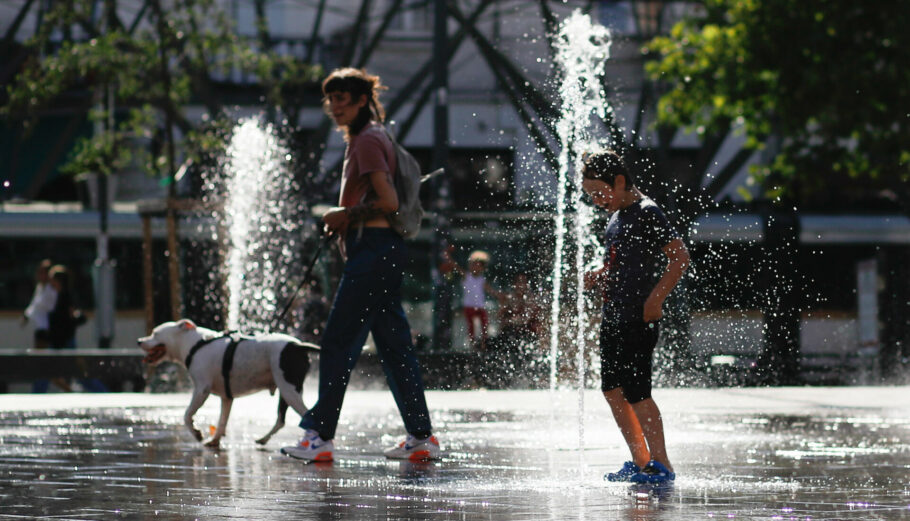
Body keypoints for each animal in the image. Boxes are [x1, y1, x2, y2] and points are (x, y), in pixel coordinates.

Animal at [137, 316, 318, 446]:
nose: (139, 341)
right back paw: (263, 439)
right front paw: (214, 440)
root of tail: (298, 345)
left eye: (155, 333)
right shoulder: (226, 397)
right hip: (286, 391)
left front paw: (197, 433)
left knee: (306, 415)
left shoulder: (201, 390)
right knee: (281, 420)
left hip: (289, 389)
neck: (195, 344)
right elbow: (222, 420)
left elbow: (187, 415)